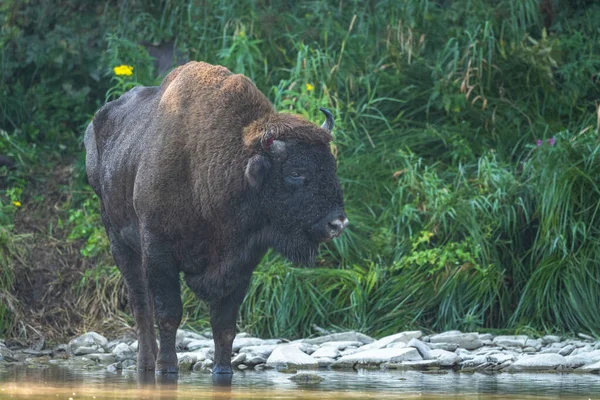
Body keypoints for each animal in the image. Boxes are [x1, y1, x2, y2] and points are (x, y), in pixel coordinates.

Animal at [84, 61, 346, 374]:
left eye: (331, 165)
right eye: (296, 172)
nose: (337, 223)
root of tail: (95, 125)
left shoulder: (240, 264)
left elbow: (224, 325)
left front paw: (223, 370)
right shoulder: (158, 250)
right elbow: (168, 314)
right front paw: (167, 367)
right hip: (118, 240)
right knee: (140, 305)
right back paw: (147, 364)